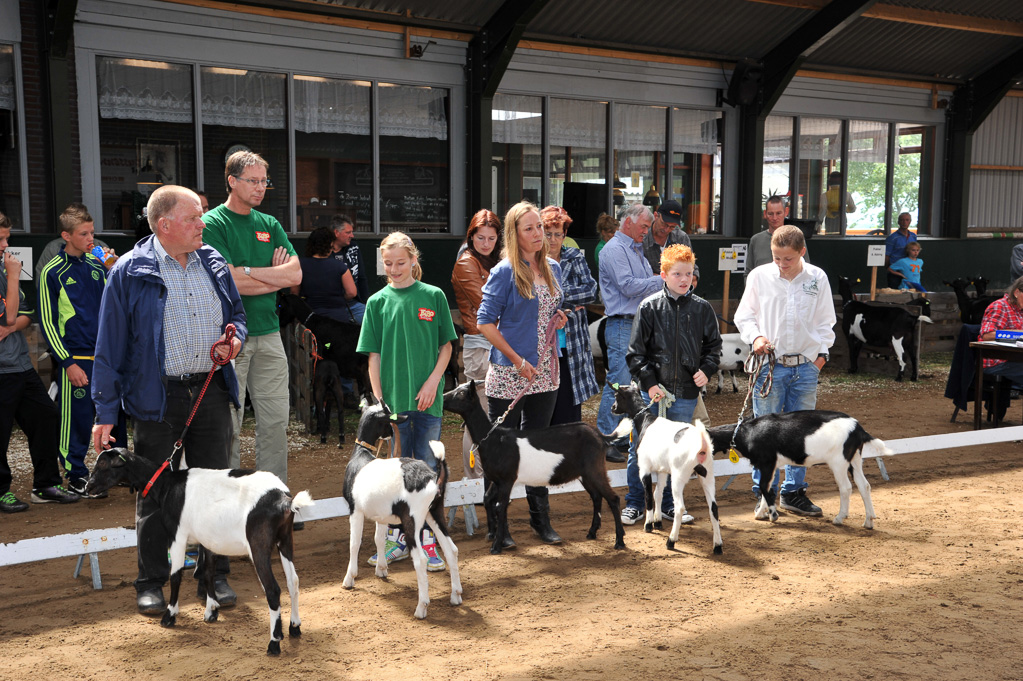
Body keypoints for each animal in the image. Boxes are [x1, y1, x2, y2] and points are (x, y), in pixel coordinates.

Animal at [84, 445, 310, 654]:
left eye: (103, 463)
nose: (88, 487)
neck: (166, 485)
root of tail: (285, 500)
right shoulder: (208, 540)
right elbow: (208, 572)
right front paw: (211, 611)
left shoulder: (177, 535)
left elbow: (175, 576)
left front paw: (170, 616)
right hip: (285, 540)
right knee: (293, 581)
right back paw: (294, 627)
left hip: (258, 544)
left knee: (272, 589)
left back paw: (274, 642)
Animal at [341, 400, 462, 617]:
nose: (391, 434)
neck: (361, 456)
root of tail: (433, 477)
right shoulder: (382, 515)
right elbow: (379, 539)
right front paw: (381, 569)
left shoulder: (355, 510)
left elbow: (354, 544)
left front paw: (349, 579)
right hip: (434, 512)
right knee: (452, 550)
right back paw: (455, 595)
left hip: (413, 519)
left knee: (420, 559)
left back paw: (421, 607)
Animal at [443, 378, 626, 556]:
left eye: (461, 394)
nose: (442, 398)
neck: (493, 438)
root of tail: (600, 436)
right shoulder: (497, 480)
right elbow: (487, 499)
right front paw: (492, 533)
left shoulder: (507, 480)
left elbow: (501, 508)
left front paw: (496, 546)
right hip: (584, 473)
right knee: (596, 497)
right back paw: (592, 532)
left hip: (595, 469)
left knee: (613, 498)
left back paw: (619, 541)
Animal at [609, 382, 724, 552]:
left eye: (617, 396)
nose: (612, 408)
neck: (646, 421)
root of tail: (702, 445)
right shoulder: (662, 470)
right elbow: (658, 493)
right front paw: (657, 521)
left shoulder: (644, 468)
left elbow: (649, 496)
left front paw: (649, 525)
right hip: (708, 474)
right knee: (713, 508)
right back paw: (717, 545)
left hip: (679, 477)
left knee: (680, 508)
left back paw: (671, 541)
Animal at [707, 409, 892, 523]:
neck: (745, 433)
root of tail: (858, 429)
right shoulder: (772, 465)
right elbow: (768, 487)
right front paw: (761, 513)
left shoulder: (767, 462)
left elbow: (764, 487)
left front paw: (772, 515)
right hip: (854, 459)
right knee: (864, 485)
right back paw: (869, 520)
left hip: (839, 461)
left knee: (846, 488)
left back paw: (840, 518)